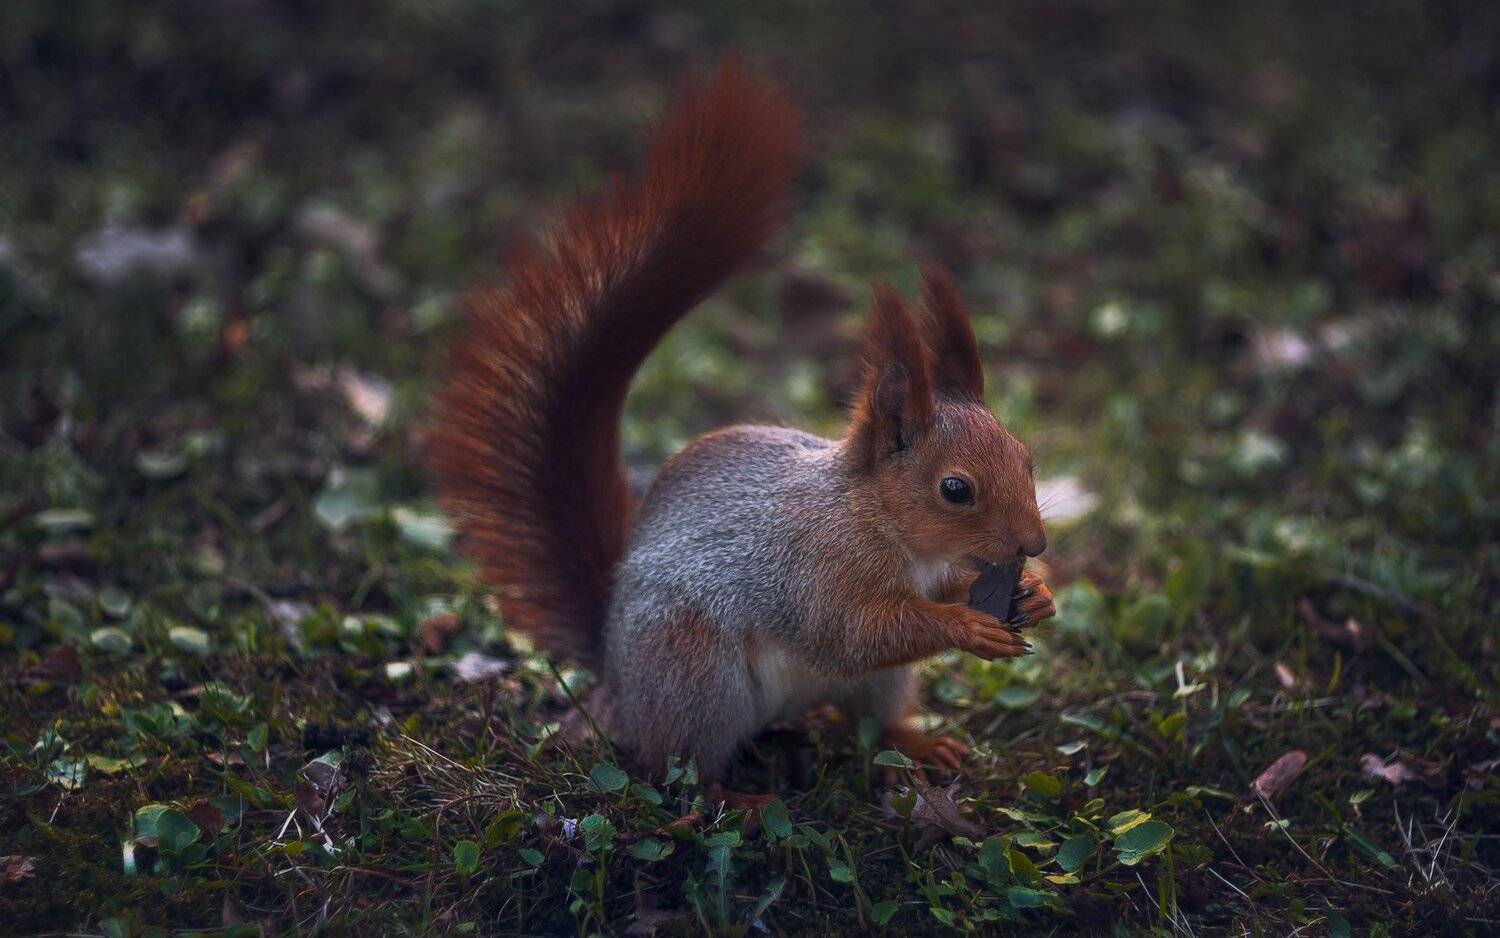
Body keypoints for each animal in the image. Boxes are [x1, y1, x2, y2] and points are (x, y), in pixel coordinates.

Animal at [429, 60, 1057, 792]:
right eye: (955, 490)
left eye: (1026, 457)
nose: (1034, 545)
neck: (876, 518)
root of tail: (619, 683)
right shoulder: (815, 575)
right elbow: (861, 633)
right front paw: (966, 626)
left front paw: (1037, 595)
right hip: (696, 671)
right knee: (680, 766)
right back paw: (738, 800)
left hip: (866, 686)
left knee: (873, 717)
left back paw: (920, 744)